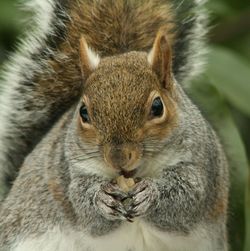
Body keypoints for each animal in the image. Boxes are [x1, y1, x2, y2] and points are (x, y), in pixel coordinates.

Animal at [0, 0, 229, 250]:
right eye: (83, 112)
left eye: (157, 107)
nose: (117, 157)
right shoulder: (68, 170)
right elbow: (83, 205)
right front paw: (101, 198)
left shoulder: (201, 163)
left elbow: (187, 197)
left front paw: (151, 193)